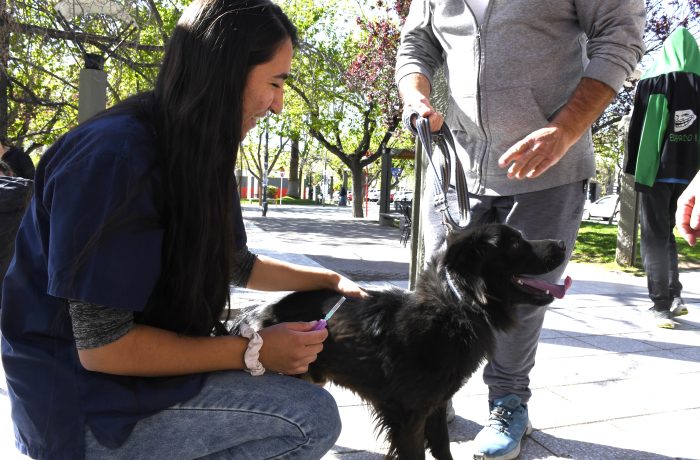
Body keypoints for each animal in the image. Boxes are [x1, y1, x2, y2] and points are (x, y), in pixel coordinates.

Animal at [235, 224, 568, 460]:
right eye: (515, 243)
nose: (564, 244)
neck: (457, 306)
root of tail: (251, 315)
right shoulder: (408, 416)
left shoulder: (436, 405)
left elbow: (443, 448)